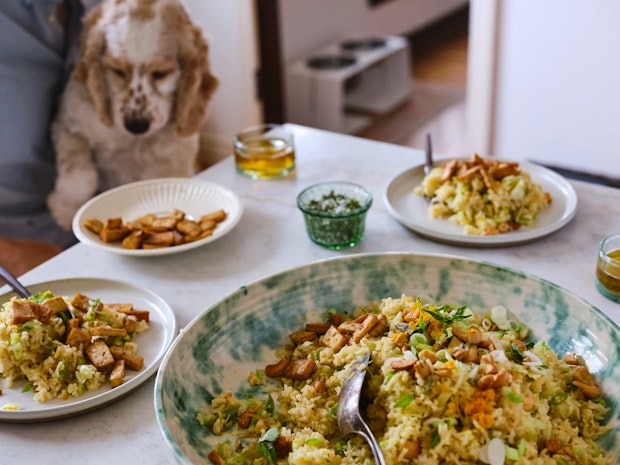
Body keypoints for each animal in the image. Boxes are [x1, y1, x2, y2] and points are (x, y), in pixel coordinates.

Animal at [46, 0, 217, 229]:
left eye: (161, 73)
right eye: (117, 70)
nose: (136, 125)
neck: (129, 140)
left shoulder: (174, 156)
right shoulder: (68, 125)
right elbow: (80, 175)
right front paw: (64, 211)